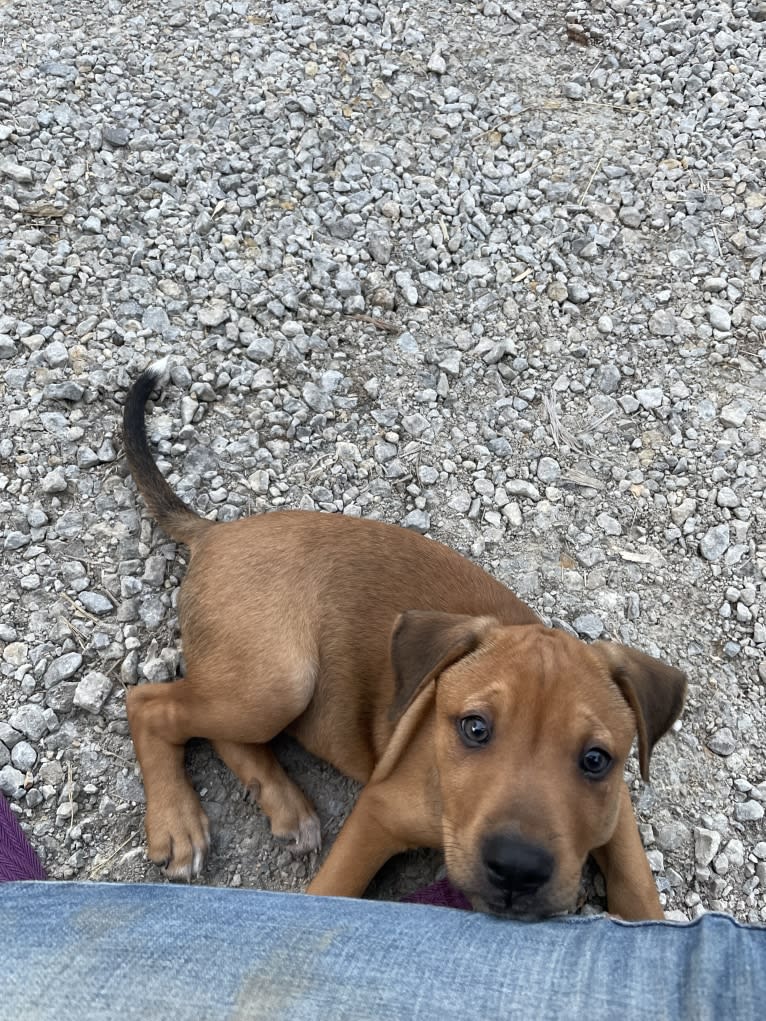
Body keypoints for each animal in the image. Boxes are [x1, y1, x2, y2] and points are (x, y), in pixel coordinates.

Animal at [123, 365, 686, 918]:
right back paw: (178, 824)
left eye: (596, 760)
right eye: (475, 728)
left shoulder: (617, 811)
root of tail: (216, 533)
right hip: (278, 680)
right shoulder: (378, 812)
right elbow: (330, 894)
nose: (517, 869)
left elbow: (640, 885)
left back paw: (285, 805)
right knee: (151, 703)